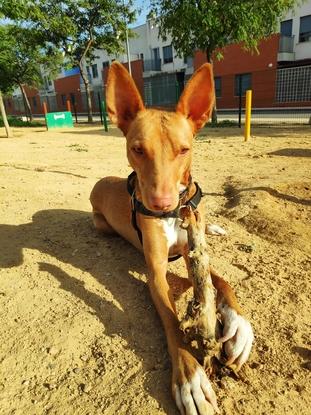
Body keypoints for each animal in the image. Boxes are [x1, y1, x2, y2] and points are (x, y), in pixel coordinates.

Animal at [90, 62, 254, 415]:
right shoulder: (156, 272)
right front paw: (190, 378)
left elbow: (223, 280)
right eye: (137, 149)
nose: (161, 204)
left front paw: (238, 325)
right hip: (101, 225)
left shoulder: (194, 250)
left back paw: (215, 227)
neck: (176, 214)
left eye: (184, 150)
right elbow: (172, 321)